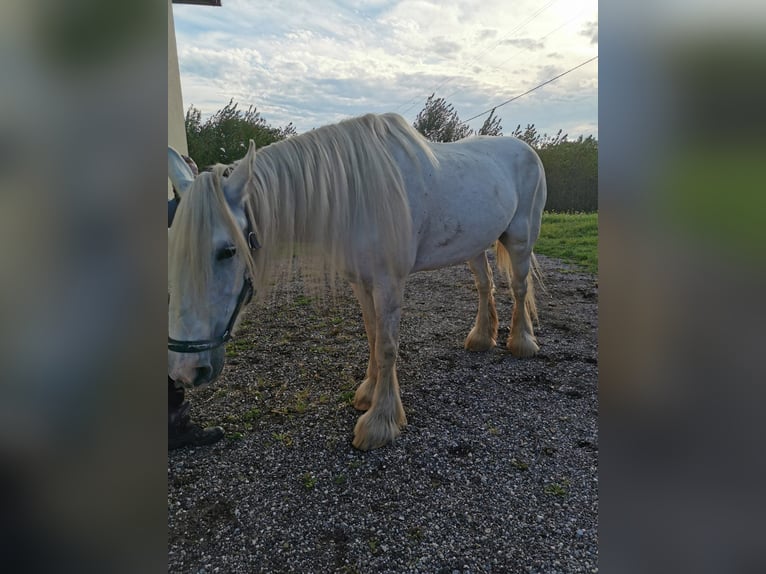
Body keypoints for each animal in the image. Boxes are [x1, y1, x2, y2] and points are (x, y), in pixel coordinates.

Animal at [168, 112, 546, 451]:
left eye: (227, 251)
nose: (185, 370)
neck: (359, 193)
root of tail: (526, 149)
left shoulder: (389, 283)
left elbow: (388, 346)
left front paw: (380, 423)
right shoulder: (361, 282)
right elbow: (373, 336)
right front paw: (368, 394)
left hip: (521, 239)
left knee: (519, 288)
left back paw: (521, 342)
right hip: (475, 246)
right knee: (485, 286)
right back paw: (481, 337)